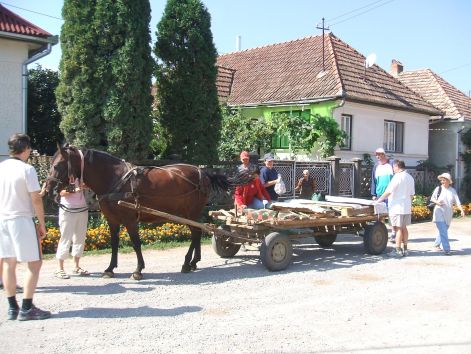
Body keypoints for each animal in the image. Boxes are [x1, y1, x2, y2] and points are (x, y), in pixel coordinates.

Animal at [44, 144, 245, 280]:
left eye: (58, 165)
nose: (49, 190)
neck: (116, 180)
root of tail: (203, 173)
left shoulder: (130, 220)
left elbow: (136, 244)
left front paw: (138, 270)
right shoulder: (112, 220)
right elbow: (114, 244)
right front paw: (110, 269)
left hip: (191, 213)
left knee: (195, 233)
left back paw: (188, 263)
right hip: (187, 214)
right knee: (197, 233)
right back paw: (193, 262)